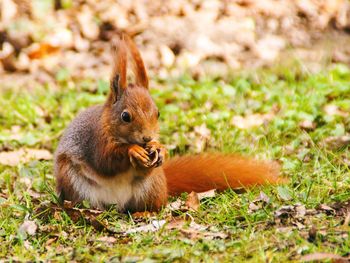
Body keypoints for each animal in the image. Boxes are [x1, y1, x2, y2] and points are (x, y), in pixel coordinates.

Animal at [54, 34, 284, 213]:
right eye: (125, 116)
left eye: (158, 112)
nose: (147, 137)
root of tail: (116, 204)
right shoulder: (95, 139)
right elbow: (105, 160)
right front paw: (133, 151)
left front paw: (160, 148)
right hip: (74, 182)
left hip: (151, 185)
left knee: (151, 207)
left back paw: (144, 213)